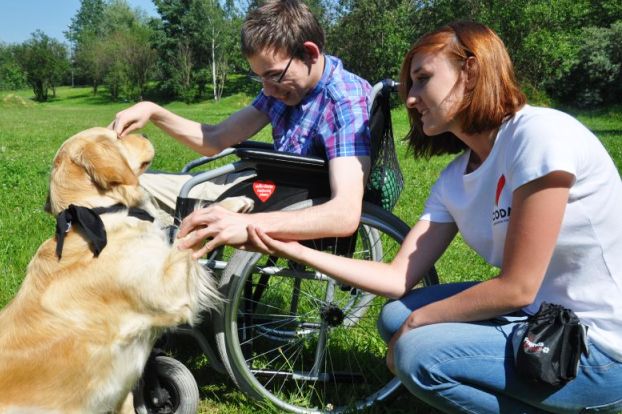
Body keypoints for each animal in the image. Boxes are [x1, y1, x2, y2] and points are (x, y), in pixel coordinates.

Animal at [0, 127, 253, 413]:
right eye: (117, 135)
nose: (145, 132)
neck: (98, 212)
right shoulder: (170, 294)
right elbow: (187, 234)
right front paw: (224, 211)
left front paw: (230, 204)